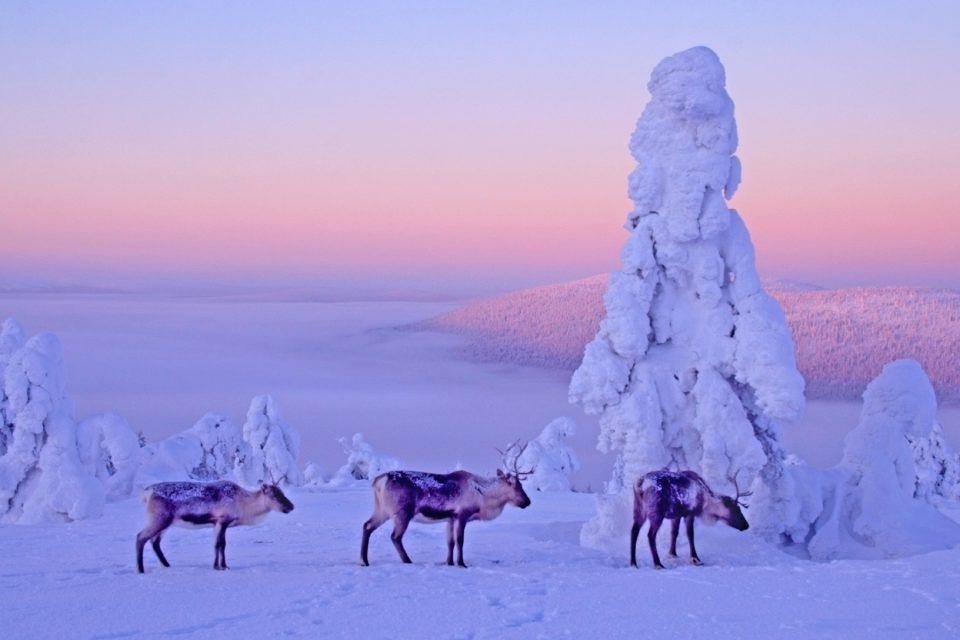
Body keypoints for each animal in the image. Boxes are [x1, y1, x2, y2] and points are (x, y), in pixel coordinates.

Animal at [136, 479, 294, 574]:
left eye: (282, 492)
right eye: (274, 496)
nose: (291, 506)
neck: (243, 505)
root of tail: (147, 492)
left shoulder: (220, 523)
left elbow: (221, 545)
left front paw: (223, 566)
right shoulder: (222, 521)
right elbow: (219, 544)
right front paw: (218, 567)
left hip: (165, 523)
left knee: (155, 542)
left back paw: (167, 565)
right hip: (159, 520)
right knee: (140, 537)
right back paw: (141, 569)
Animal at [360, 441, 533, 568]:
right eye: (517, 486)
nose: (528, 501)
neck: (483, 497)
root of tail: (378, 481)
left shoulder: (450, 518)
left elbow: (450, 542)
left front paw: (449, 563)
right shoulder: (462, 515)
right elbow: (460, 541)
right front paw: (461, 564)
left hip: (382, 510)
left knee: (367, 526)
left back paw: (364, 561)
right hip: (402, 513)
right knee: (395, 537)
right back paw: (407, 561)